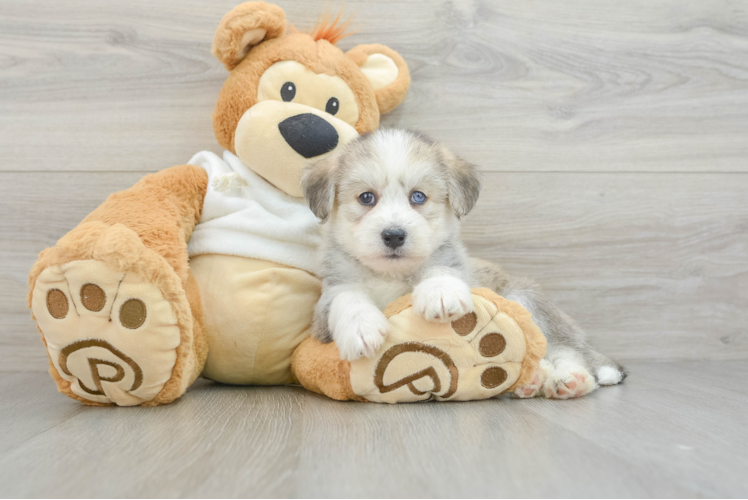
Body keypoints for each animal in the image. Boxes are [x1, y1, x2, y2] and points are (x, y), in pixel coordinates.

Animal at [300, 128, 480, 360]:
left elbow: (442, 268)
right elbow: (346, 295)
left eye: (418, 196)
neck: (388, 275)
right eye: (366, 197)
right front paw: (360, 326)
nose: (394, 235)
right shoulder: (327, 303)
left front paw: (440, 289)